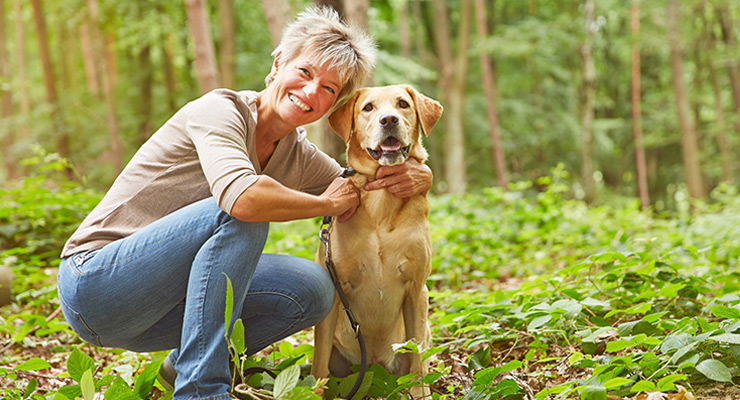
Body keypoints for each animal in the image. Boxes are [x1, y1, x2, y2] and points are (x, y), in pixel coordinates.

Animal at [310, 83, 442, 396]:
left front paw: (421, 394)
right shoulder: (335, 289)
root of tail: (373, 370)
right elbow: (318, 365)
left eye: (403, 103)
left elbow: (418, 359)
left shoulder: (417, 289)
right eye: (368, 107)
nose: (389, 120)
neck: (381, 201)